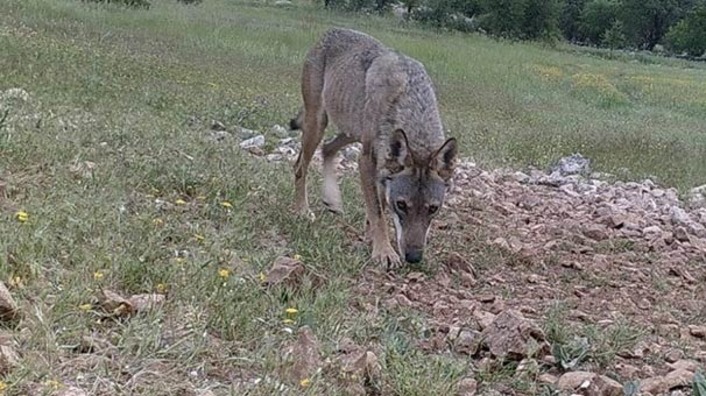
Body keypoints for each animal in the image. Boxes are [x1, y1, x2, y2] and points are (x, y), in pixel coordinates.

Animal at [288, 27, 456, 270]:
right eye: (401, 205)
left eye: (433, 208)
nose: (414, 257)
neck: (410, 103)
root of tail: (330, 31)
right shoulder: (366, 161)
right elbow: (378, 212)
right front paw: (384, 252)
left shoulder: (381, 169)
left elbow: (377, 208)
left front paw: (371, 238)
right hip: (318, 124)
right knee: (300, 166)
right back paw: (302, 210)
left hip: (351, 132)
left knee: (327, 149)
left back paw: (332, 199)